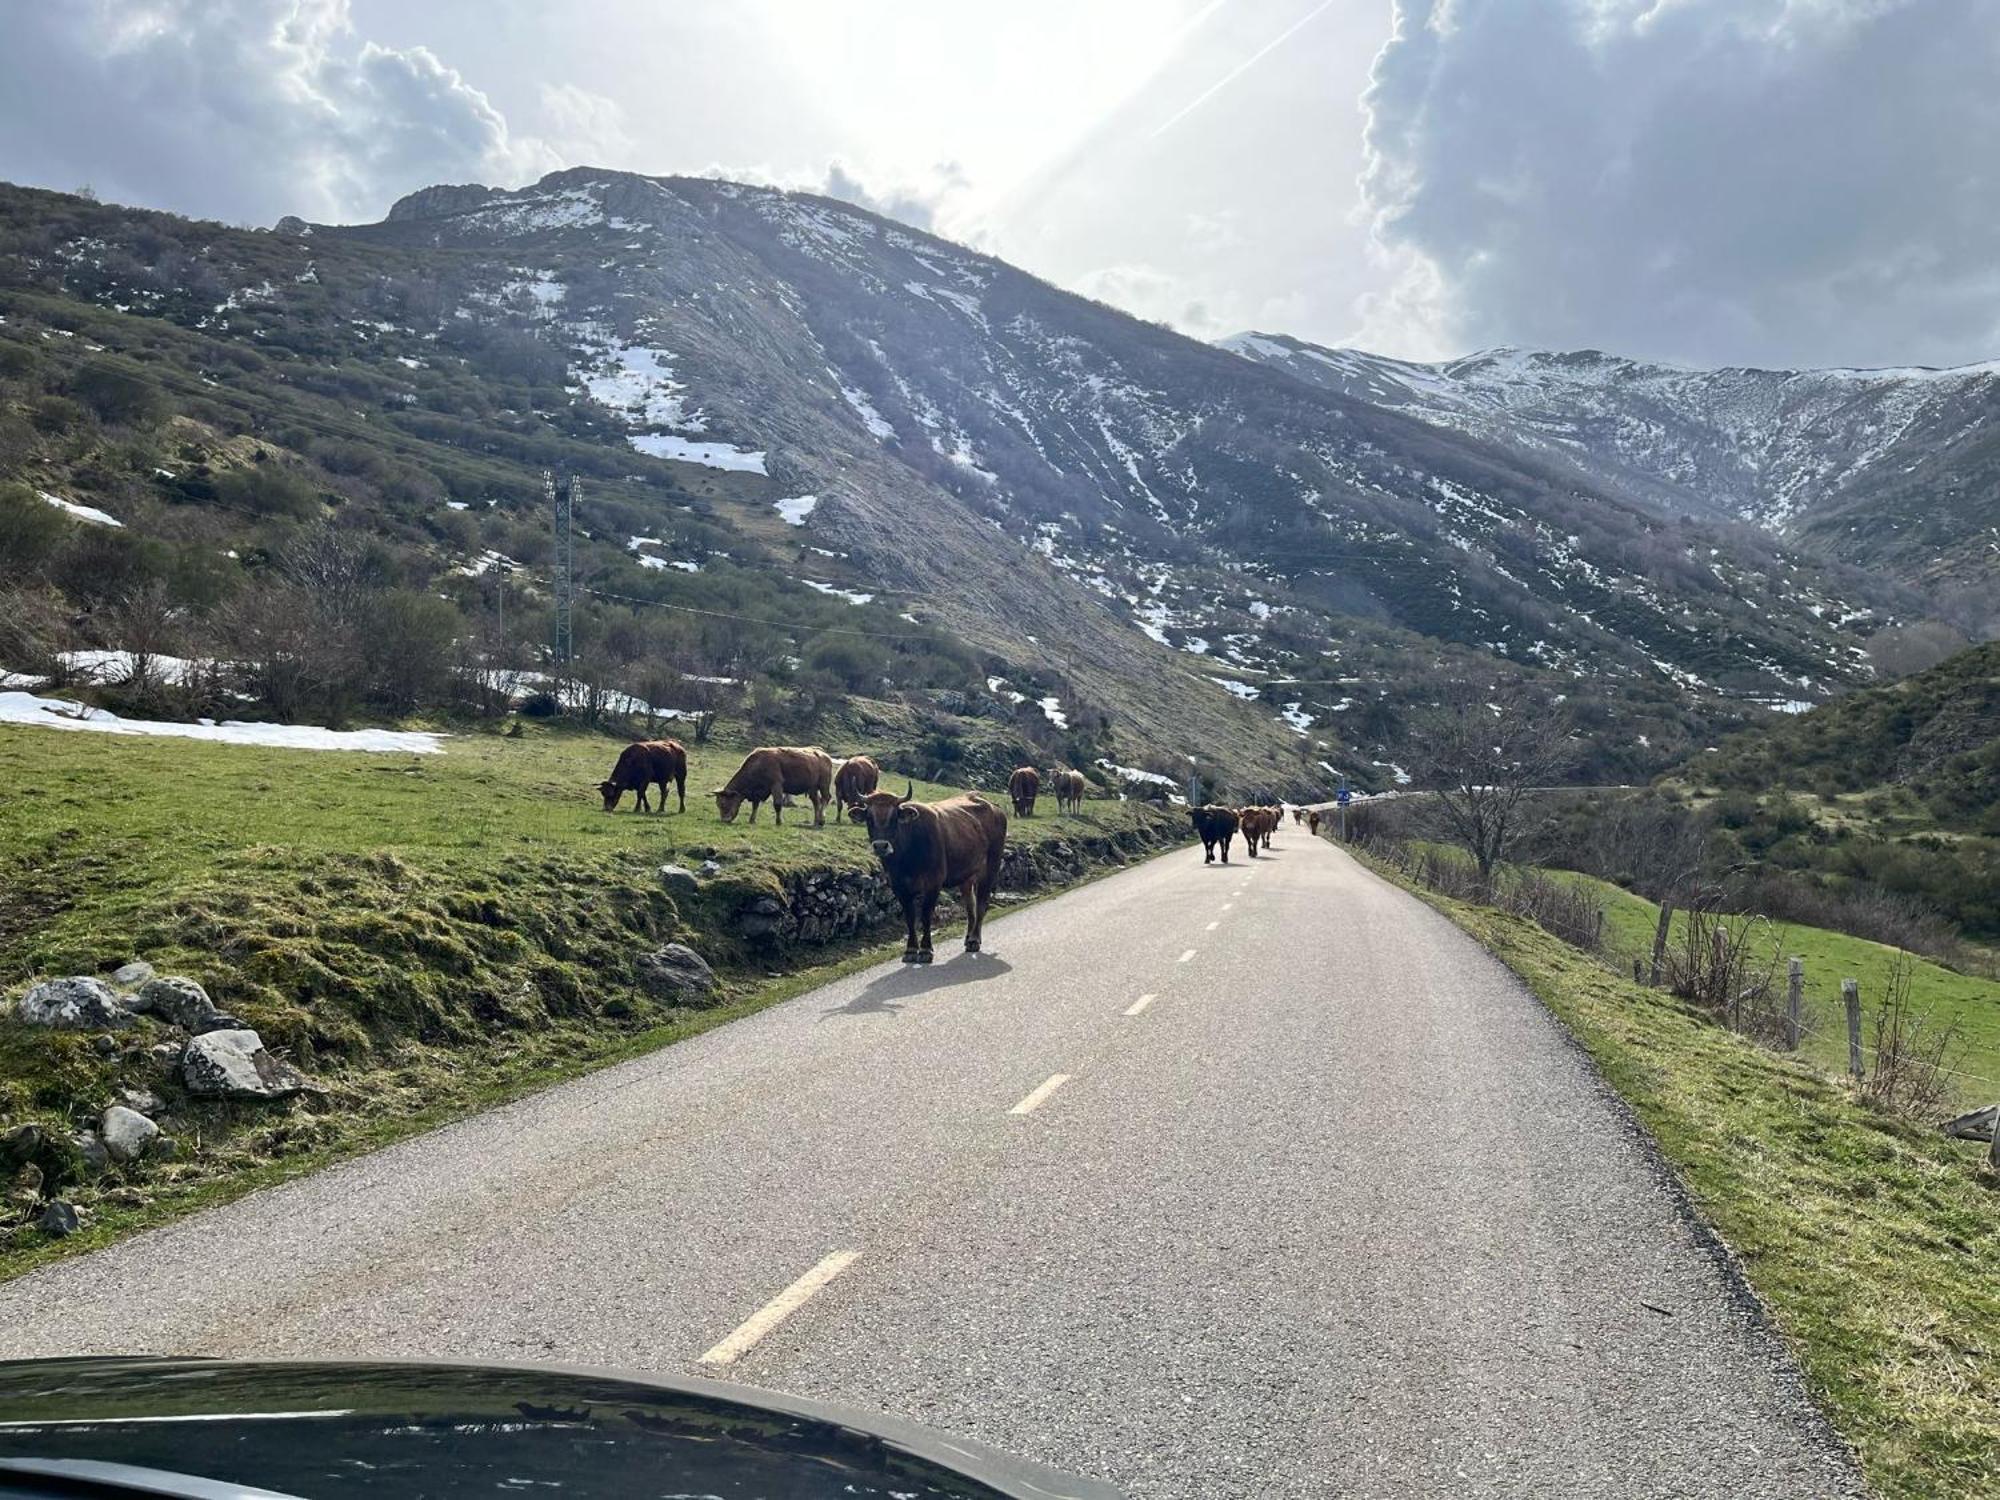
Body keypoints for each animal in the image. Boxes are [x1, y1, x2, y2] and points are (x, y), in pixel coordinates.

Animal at [848, 780, 1008, 968]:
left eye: (894, 818)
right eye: (869, 818)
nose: (881, 846)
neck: (906, 858)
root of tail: (994, 808)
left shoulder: (933, 883)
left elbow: (925, 915)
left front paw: (925, 950)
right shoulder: (899, 886)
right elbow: (910, 917)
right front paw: (910, 950)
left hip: (991, 868)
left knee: (981, 904)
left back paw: (975, 940)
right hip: (967, 877)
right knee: (970, 905)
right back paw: (968, 938)